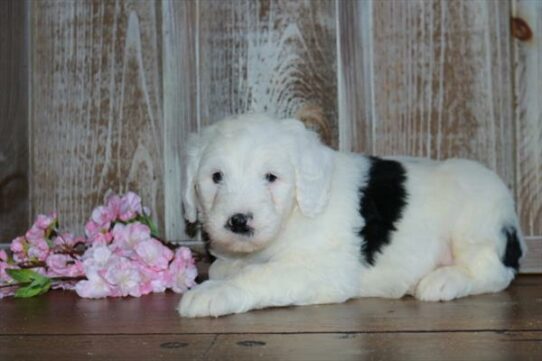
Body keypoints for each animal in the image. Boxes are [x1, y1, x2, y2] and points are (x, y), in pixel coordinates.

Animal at [178, 112, 528, 316]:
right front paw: (225, 271)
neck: (295, 214)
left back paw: (442, 281)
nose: (238, 221)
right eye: (216, 177)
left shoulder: (323, 269)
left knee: (493, 272)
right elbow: (223, 266)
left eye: (271, 177)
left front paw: (214, 293)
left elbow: (260, 274)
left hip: (476, 225)